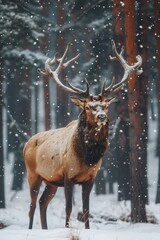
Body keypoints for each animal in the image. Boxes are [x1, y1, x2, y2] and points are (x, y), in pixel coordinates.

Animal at [23, 40, 142, 230]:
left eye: (105, 106)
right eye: (88, 106)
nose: (101, 116)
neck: (87, 157)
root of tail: (26, 143)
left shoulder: (90, 178)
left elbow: (86, 210)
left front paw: (87, 230)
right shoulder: (67, 175)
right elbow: (69, 207)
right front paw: (67, 228)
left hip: (50, 181)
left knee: (42, 202)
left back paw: (45, 229)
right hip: (32, 174)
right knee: (32, 205)